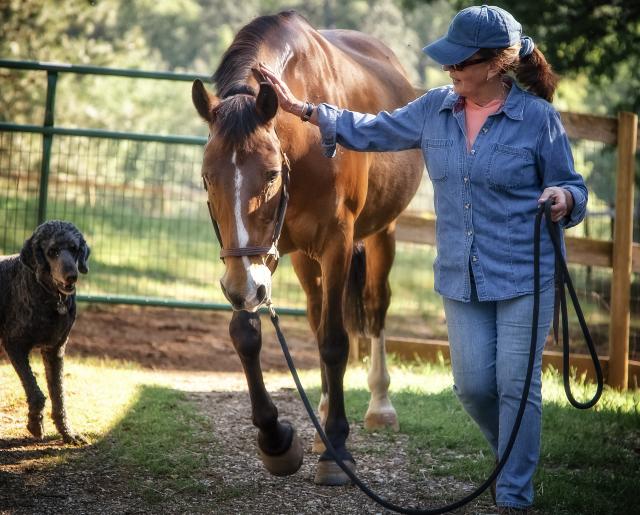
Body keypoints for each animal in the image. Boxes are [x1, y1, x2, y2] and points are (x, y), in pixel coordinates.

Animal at [0, 220, 90, 446]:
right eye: (52, 251)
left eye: (74, 249)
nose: (72, 276)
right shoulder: (14, 345)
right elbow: (36, 392)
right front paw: (35, 423)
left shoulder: (55, 350)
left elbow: (59, 394)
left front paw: (68, 433)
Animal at [192, 12, 422, 488]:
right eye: (207, 177)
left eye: (271, 174)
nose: (241, 286)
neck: (306, 142)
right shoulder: (258, 260)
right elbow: (248, 334)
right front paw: (276, 438)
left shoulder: (336, 243)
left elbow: (335, 341)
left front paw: (338, 450)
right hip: (300, 259)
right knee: (317, 317)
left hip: (381, 234)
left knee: (374, 307)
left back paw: (378, 406)